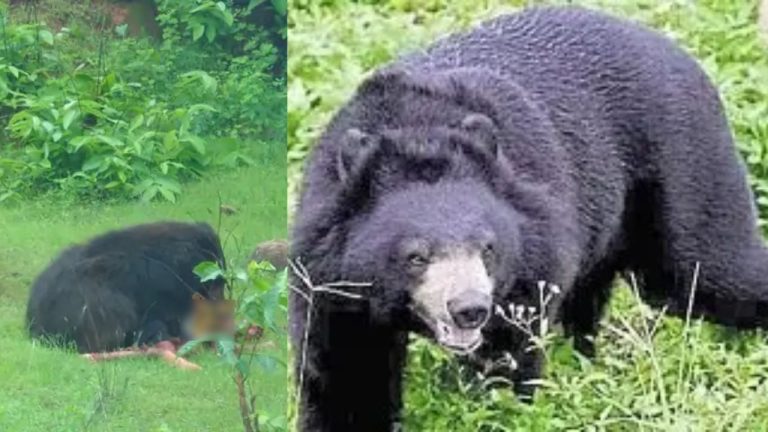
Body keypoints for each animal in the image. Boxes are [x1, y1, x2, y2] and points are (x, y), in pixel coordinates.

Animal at [289, 5, 768, 431]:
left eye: (488, 248)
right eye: (415, 257)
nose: (469, 309)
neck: (416, 128)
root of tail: (681, 50)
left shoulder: (530, 258)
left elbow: (507, 359)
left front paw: (501, 408)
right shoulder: (333, 281)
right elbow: (347, 379)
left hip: (682, 168)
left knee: (708, 271)